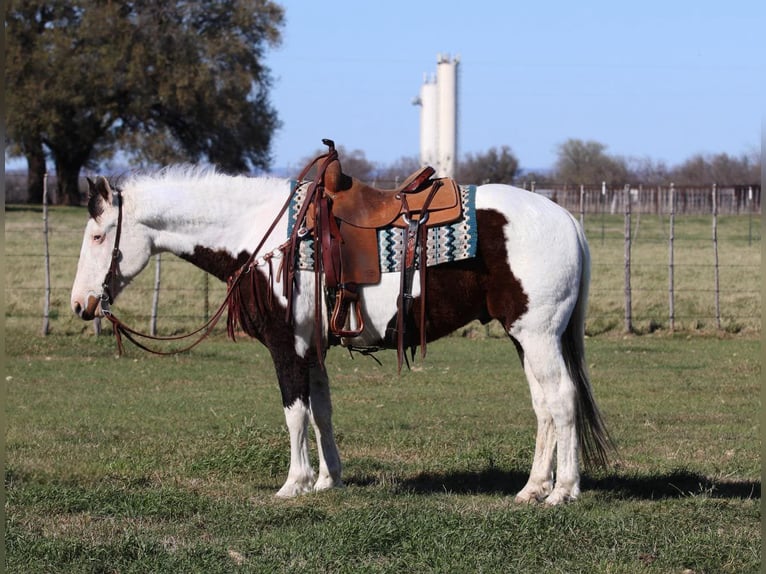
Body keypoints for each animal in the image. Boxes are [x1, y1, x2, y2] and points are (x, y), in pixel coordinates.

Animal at [70, 163, 613, 505]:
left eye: (98, 236)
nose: (80, 304)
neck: (262, 235)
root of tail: (568, 220)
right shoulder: (312, 348)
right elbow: (321, 412)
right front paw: (329, 480)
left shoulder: (286, 345)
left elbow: (294, 412)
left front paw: (295, 483)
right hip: (526, 337)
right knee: (544, 406)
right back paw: (532, 488)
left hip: (538, 335)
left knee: (562, 400)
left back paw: (563, 491)